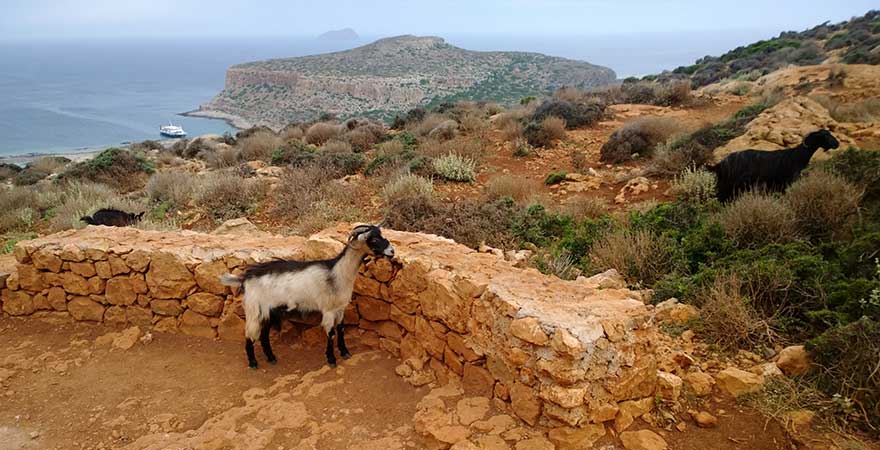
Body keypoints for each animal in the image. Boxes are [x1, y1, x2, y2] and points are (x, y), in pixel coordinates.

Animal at [220, 224, 395, 369]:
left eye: (381, 234)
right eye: (373, 239)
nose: (392, 251)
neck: (337, 273)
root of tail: (245, 278)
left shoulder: (340, 309)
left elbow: (341, 329)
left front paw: (345, 352)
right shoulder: (328, 310)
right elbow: (331, 333)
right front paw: (331, 359)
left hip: (269, 311)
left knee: (263, 335)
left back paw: (271, 358)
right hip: (254, 310)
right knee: (250, 335)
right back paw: (253, 363)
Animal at [708, 129, 840, 202]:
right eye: (825, 136)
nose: (837, 144)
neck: (796, 156)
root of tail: (720, 163)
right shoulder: (786, 183)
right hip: (730, 185)